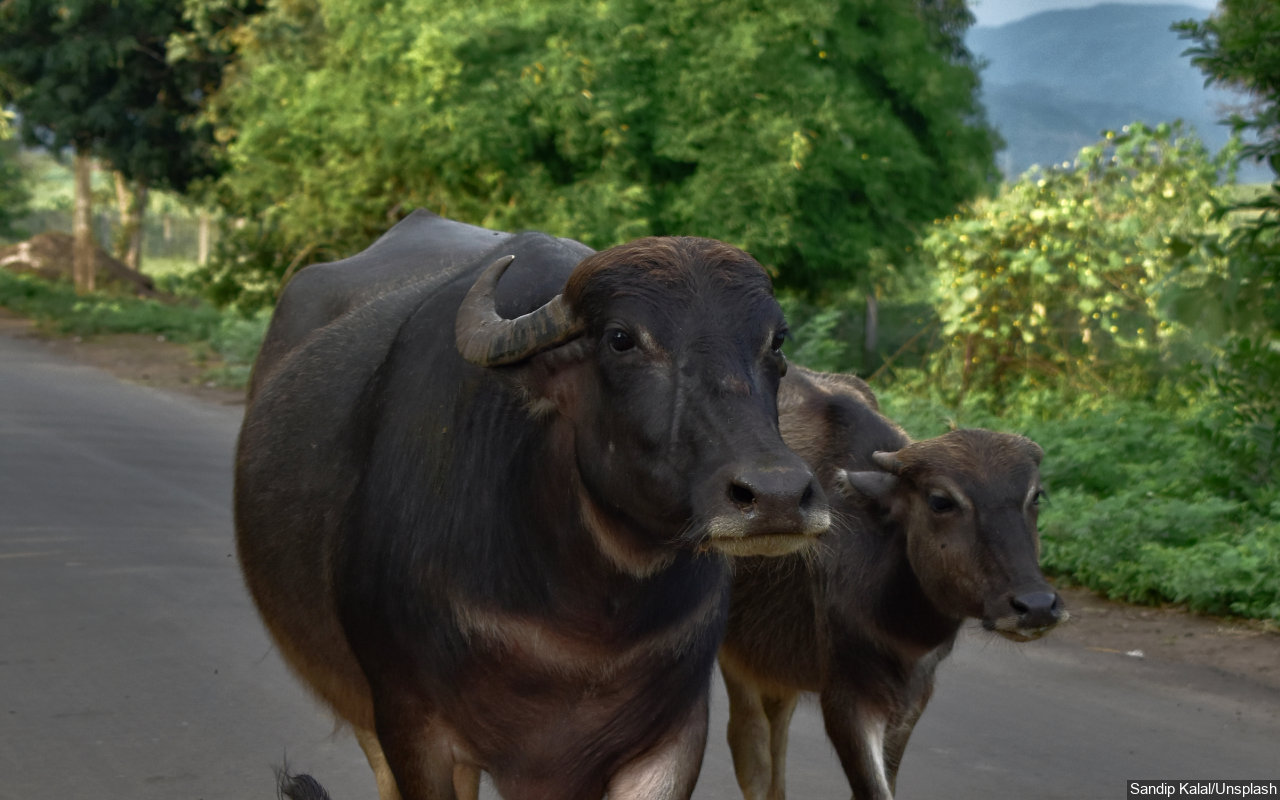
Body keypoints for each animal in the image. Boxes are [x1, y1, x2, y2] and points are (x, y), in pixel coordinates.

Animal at [235, 211, 829, 798]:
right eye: (620, 339)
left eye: (776, 341)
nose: (777, 495)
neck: (590, 627)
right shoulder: (409, 724)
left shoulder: (672, 738)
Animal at [716, 366, 1064, 793]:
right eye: (941, 500)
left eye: (1036, 496)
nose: (1036, 605)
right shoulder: (847, 698)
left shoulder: (913, 695)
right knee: (749, 746)